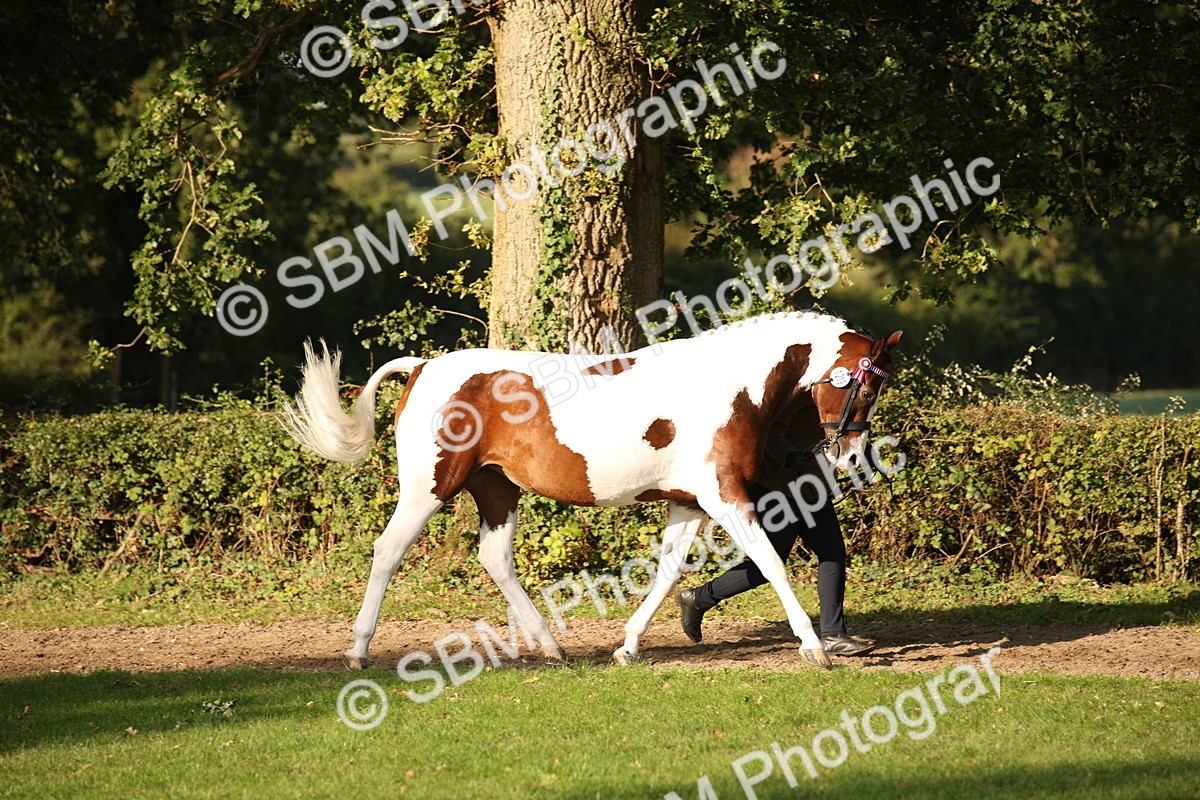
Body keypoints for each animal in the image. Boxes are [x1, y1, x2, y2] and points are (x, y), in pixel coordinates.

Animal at [283, 311, 901, 671]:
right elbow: (771, 562)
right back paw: (358, 650)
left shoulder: (688, 502)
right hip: (428, 486)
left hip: (496, 489)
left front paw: (627, 647)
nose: (849, 456)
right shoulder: (724, 496)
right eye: (868, 386)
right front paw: (815, 648)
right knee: (387, 551)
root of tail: (424, 367)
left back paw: (550, 646)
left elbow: (668, 573)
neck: (728, 384)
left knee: (495, 558)